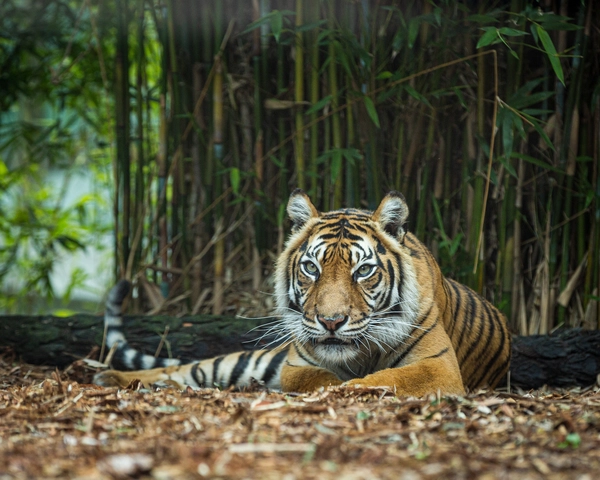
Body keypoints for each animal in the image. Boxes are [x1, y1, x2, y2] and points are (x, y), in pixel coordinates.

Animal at [94, 189, 510, 396]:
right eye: (312, 268)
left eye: (363, 271)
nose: (331, 322)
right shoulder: (297, 364)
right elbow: (320, 378)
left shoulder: (440, 366)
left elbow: (390, 378)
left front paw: (354, 388)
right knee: (180, 370)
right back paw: (108, 378)